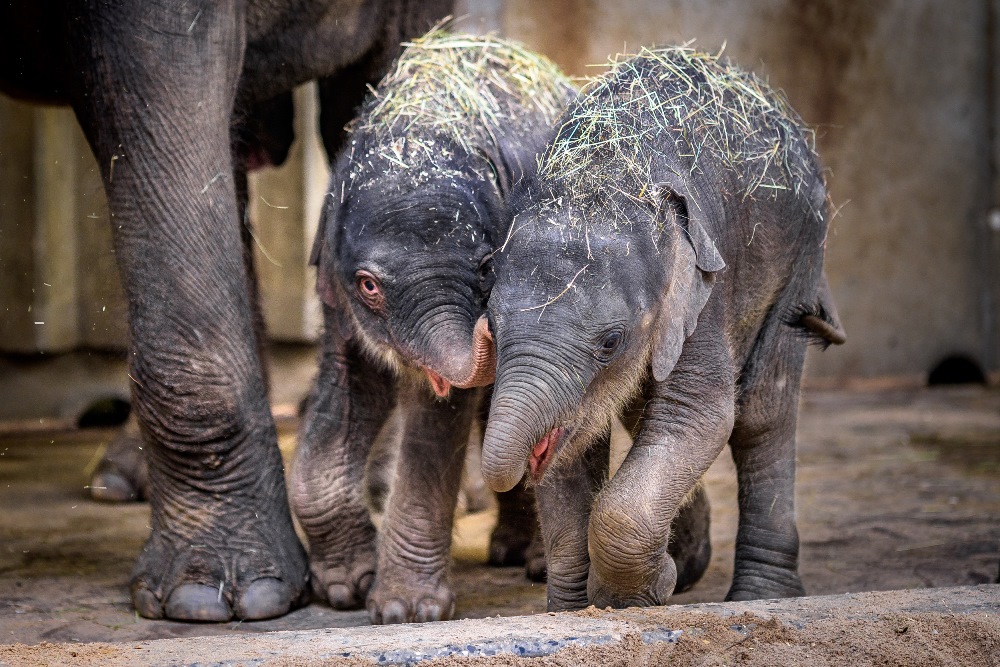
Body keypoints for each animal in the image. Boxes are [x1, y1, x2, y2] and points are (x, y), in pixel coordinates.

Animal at [292, 31, 576, 628]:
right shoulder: (336, 295)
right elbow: (347, 392)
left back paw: (534, 563)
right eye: (369, 285)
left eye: (488, 265)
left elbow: (438, 417)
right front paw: (345, 589)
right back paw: (510, 551)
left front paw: (406, 611)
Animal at [476, 45, 844, 612]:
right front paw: (574, 610)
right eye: (492, 327)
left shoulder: (702, 290)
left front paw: (640, 591)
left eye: (611, 342)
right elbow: (575, 446)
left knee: (762, 414)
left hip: (799, 257)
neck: (603, 172)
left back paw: (760, 597)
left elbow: (701, 415)